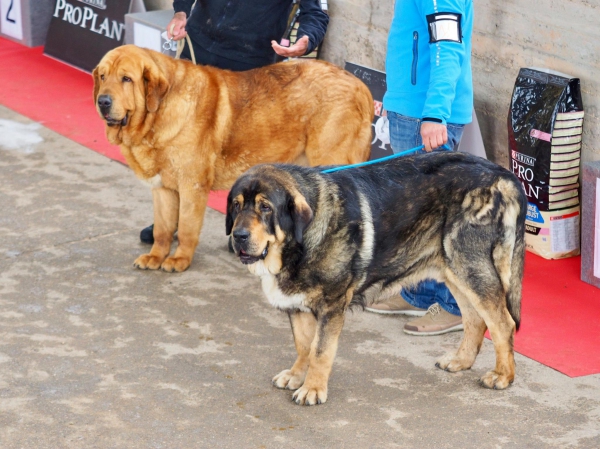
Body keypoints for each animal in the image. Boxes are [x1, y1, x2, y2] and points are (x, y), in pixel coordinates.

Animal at [92, 45, 370, 272]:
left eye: (126, 79)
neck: (157, 114)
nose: (102, 101)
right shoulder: (163, 188)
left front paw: (179, 259)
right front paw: (156, 256)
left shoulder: (192, 187)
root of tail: (362, 87)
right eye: (103, 76)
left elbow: (186, 228)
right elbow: (163, 229)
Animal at [227, 152, 528, 404]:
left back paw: (503, 376)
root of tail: (504, 176)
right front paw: (296, 376)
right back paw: (461, 360)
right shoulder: (297, 306)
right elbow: (304, 346)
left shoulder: (332, 306)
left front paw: (313, 388)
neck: (299, 244)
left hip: (470, 267)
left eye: (265, 208)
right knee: (475, 319)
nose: (238, 236)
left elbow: (320, 351)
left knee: (503, 323)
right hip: (453, 270)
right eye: (236, 206)